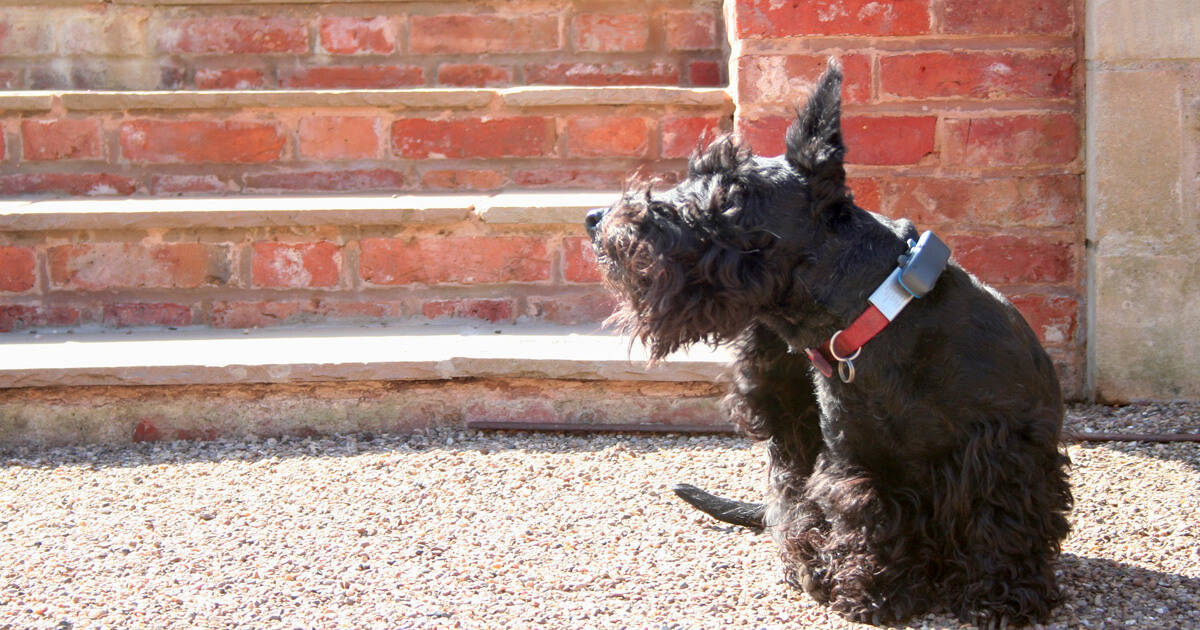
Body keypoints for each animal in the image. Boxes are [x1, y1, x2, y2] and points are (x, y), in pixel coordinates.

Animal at [585, 57, 1075, 624]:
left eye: (730, 188)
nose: (597, 220)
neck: (880, 319)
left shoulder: (1007, 450)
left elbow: (1002, 521)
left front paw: (1003, 595)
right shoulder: (854, 462)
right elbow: (866, 518)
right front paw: (873, 591)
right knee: (788, 506)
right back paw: (811, 565)